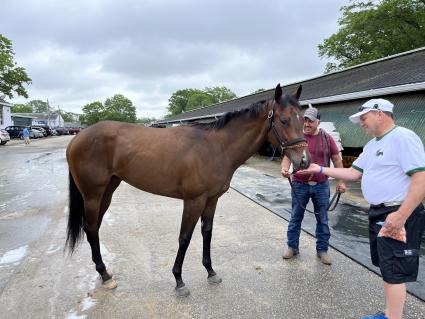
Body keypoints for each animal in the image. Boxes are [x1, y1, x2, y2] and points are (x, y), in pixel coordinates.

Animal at [67, 83, 312, 298]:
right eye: (283, 120)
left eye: (302, 120)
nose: (303, 162)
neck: (216, 148)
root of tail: (77, 138)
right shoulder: (194, 200)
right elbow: (184, 237)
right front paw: (179, 281)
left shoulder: (212, 200)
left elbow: (207, 232)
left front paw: (210, 272)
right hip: (93, 195)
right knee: (91, 228)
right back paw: (105, 275)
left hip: (107, 191)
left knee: (94, 228)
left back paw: (103, 272)